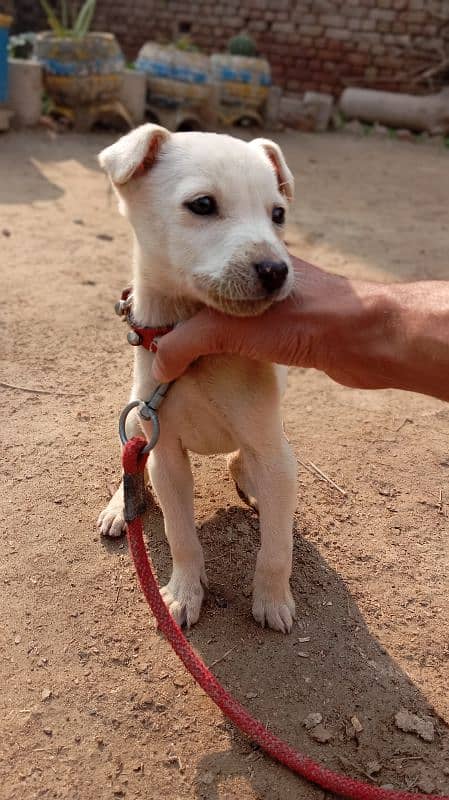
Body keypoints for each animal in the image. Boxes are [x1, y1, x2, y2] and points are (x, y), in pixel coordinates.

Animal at [99, 123, 298, 632]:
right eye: (203, 204)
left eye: (278, 214)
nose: (277, 270)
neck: (199, 353)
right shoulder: (164, 452)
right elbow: (180, 534)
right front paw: (184, 592)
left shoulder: (273, 452)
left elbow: (277, 547)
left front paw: (272, 599)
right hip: (136, 427)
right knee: (131, 465)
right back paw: (119, 507)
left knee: (242, 466)